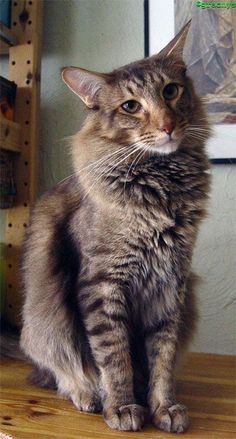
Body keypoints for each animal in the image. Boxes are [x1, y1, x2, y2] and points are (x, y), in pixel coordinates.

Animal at [18, 23, 210, 434]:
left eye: (170, 90)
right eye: (130, 107)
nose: (167, 126)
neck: (161, 190)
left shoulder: (172, 286)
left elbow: (162, 359)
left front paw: (163, 406)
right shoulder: (102, 284)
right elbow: (113, 357)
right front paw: (121, 406)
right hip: (43, 325)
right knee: (61, 372)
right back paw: (87, 395)